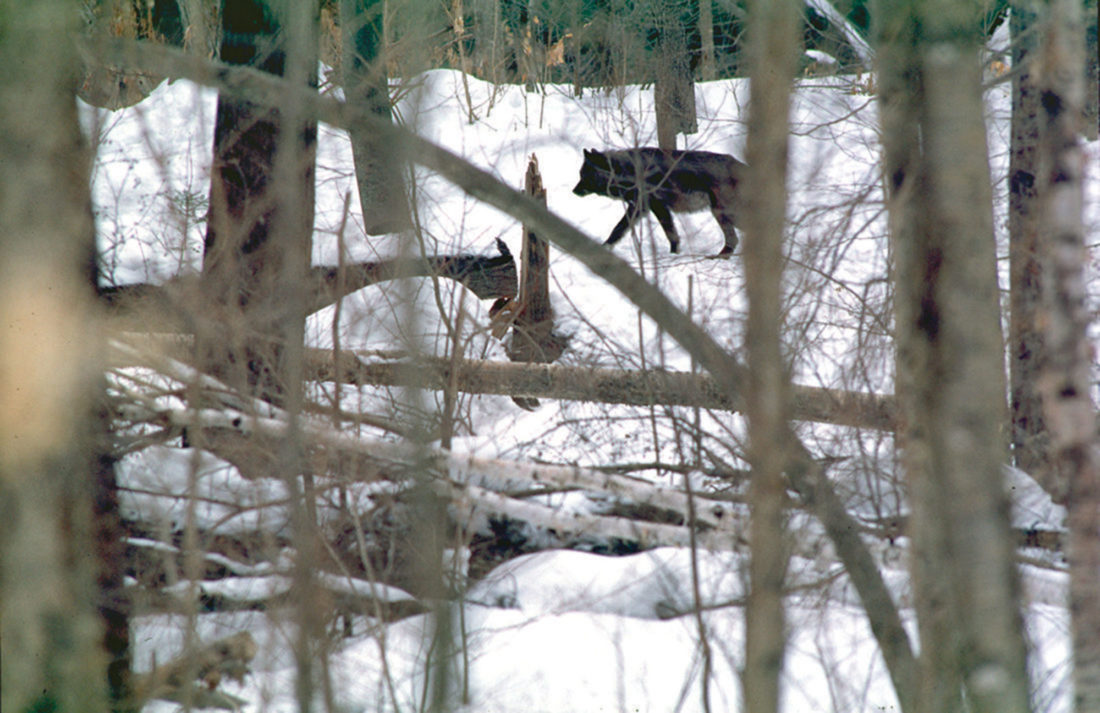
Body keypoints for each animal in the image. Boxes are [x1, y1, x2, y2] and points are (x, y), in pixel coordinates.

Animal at [572, 147, 747, 257]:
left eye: (584, 175)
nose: (573, 191)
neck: (627, 170)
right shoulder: (649, 208)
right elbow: (671, 234)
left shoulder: (649, 207)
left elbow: (669, 233)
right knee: (733, 239)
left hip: (723, 213)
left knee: (734, 238)